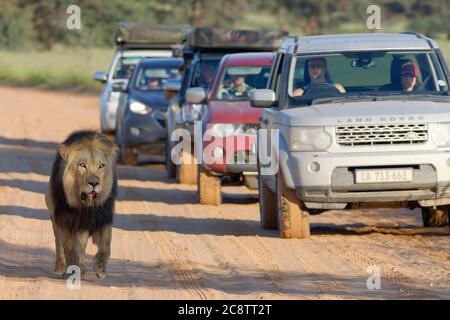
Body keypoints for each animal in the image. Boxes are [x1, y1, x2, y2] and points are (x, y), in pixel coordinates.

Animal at [45, 130, 118, 280]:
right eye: (82, 165)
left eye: (101, 166)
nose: (94, 183)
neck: (86, 207)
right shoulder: (66, 221)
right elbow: (69, 248)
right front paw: (71, 270)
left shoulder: (103, 217)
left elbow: (106, 244)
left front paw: (100, 268)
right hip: (55, 218)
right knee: (59, 243)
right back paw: (61, 267)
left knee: (81, 248)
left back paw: (83, 270)